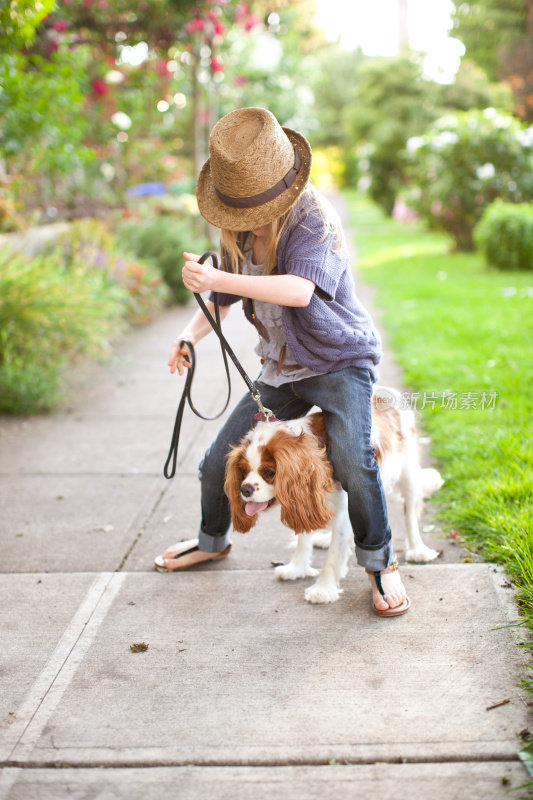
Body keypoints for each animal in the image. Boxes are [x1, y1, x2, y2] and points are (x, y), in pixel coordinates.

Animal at [224, 384, 440, 604]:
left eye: (269, 472)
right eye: (243, 470)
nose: (245, 489)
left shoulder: (342, 507)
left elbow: (334, 554)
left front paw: (323, 589)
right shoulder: (307, 498)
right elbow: (304, 539)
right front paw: (296, 569)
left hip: (409, 475)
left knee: (410, 515)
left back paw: (418, 550)